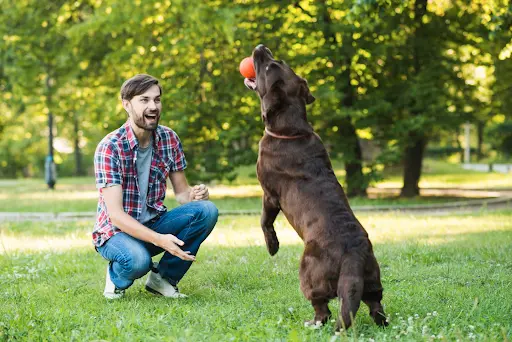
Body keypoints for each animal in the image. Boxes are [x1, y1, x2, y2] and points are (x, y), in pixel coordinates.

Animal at [245, 44, 388, 332]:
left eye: (269, 66)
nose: (261, 47)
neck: (291, 130)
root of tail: (354, 255)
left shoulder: (270, 194)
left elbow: (265, 221)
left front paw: (272, 246)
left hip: (309, 272)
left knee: (323, 308)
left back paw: (312, 323)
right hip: (372, 278)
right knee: (375, 304)